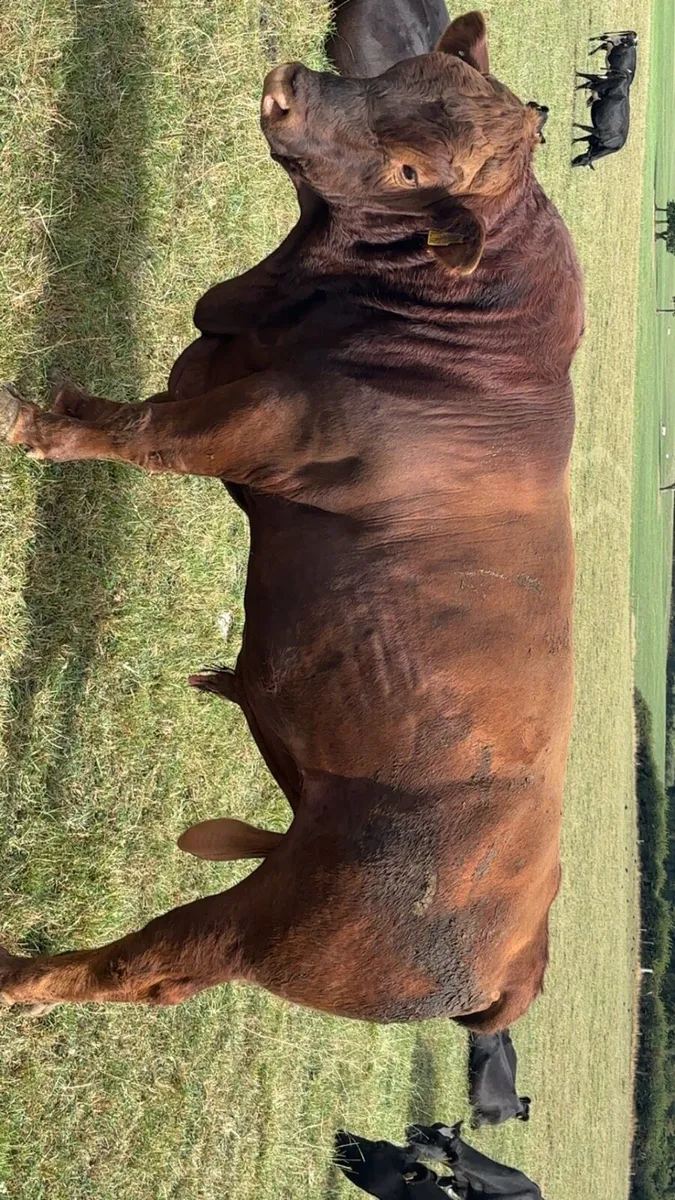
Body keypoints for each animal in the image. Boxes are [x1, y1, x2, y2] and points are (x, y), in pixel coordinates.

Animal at [0, 11, 583, 1029]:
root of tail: (521, 960)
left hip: (279, 927)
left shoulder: (261, 425)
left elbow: (144, 435)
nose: (289, 89)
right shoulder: (222, 362)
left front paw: (31, 423)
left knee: (144, 967)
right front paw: (69, 401)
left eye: (410, 170)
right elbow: (134, 408)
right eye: (393, 71)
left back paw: (14, 972)